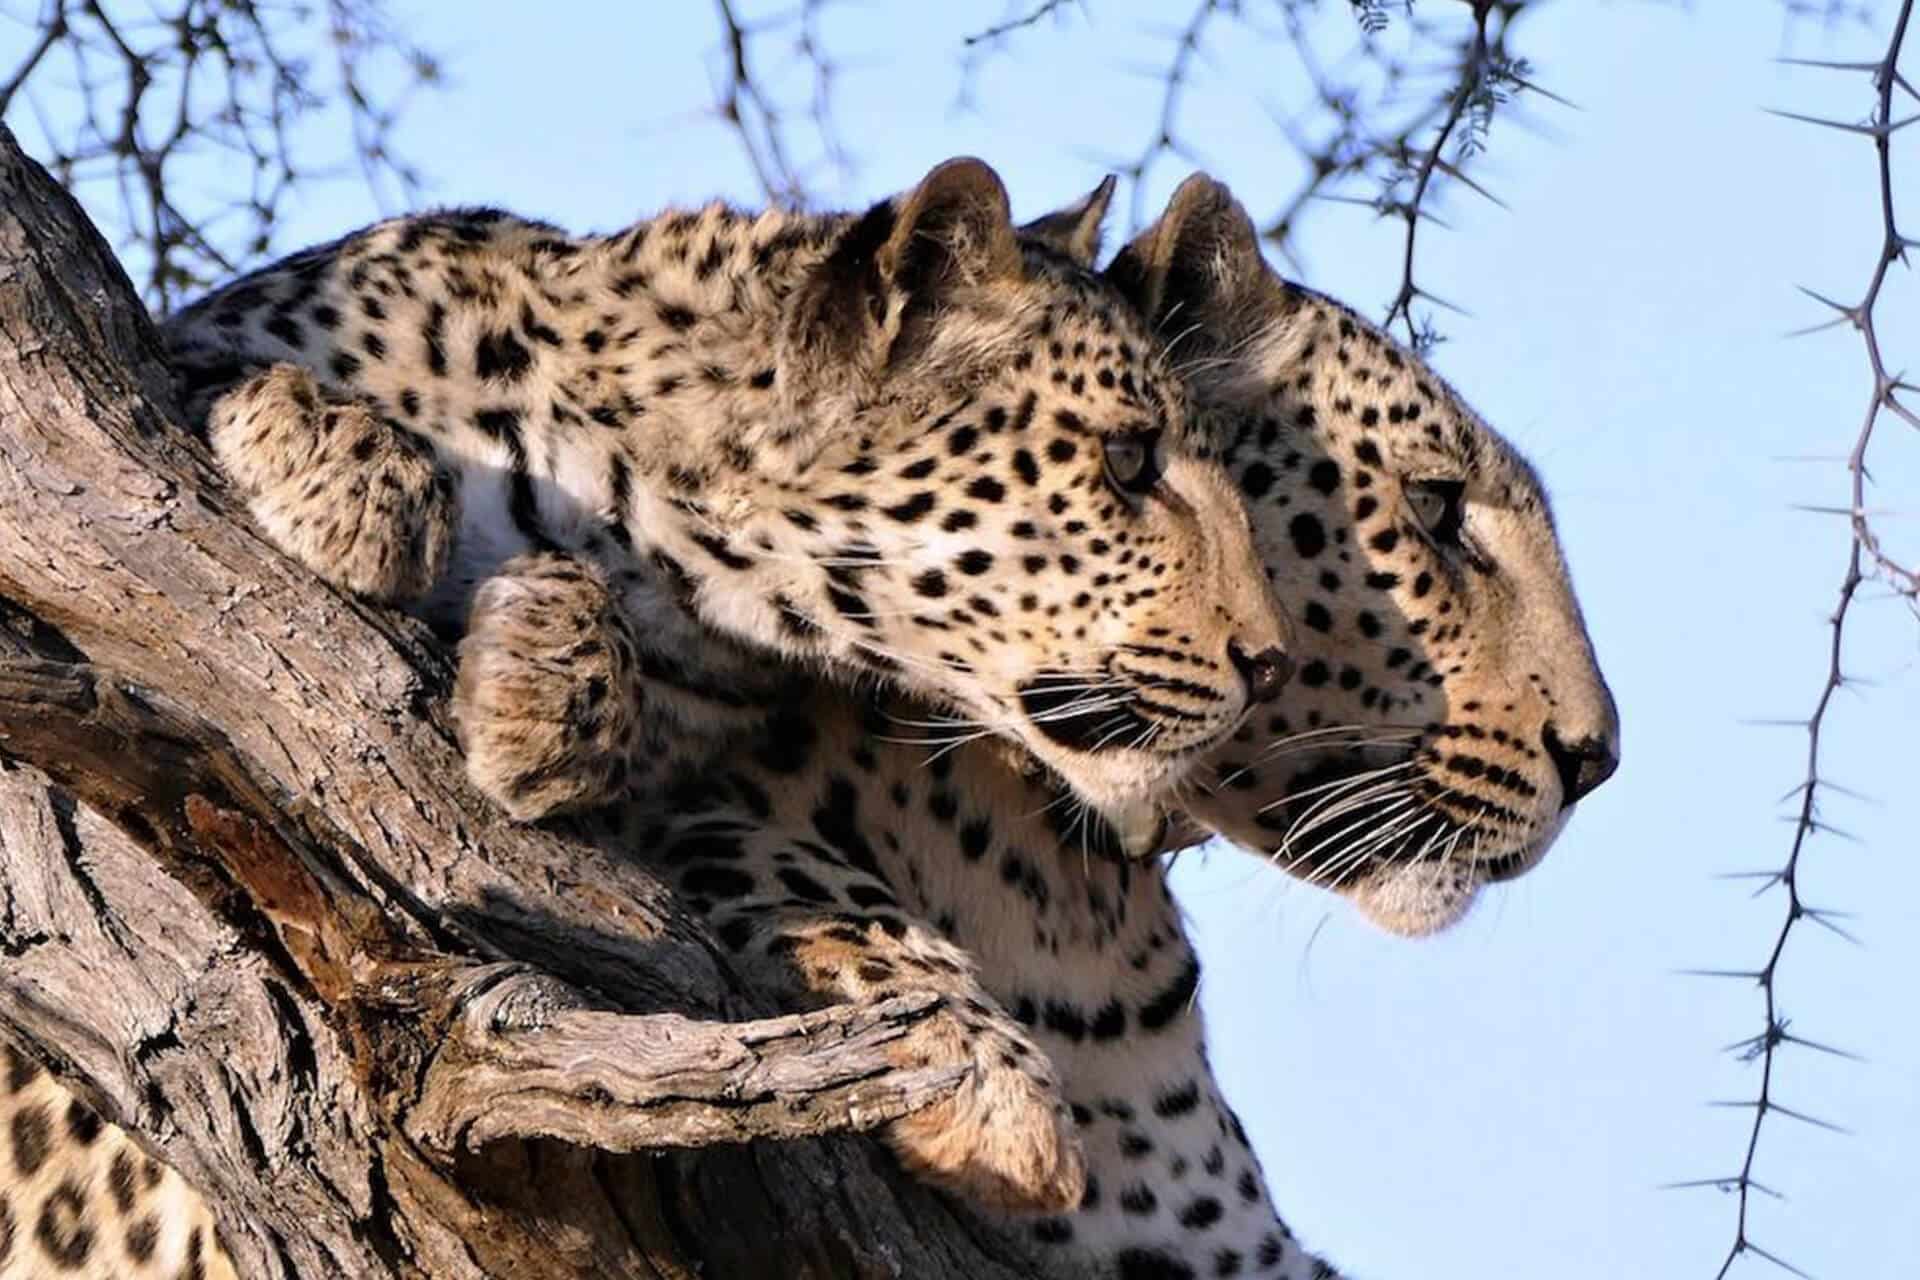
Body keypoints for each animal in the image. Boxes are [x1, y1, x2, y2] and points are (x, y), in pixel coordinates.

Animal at [160, 156, 1293, 853]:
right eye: (1128, 459)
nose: (1271, 662)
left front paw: (547, 698)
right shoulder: (199, 330)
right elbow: (223, 369)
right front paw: (353, 474)